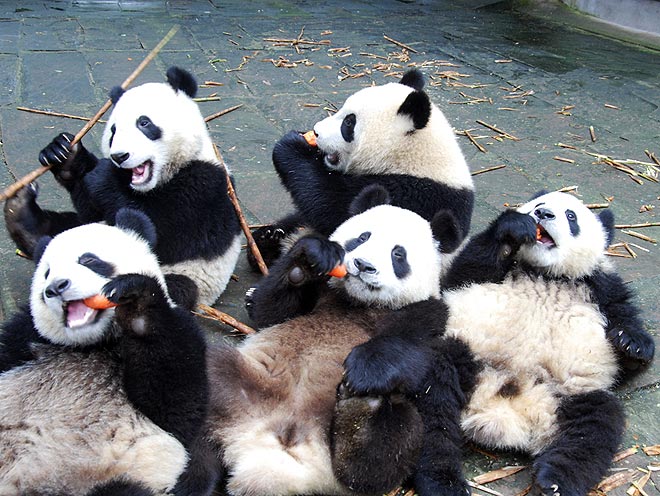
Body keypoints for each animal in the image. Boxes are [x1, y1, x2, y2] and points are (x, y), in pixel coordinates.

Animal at [0, 209, 217, 495]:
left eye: (89, 260)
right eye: (46, 273)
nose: (56, 287)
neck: (93, 343)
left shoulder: (182, 335)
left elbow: (176, 408)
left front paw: (137, 303)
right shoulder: (24, 337)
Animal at [3, 66, 242, 308]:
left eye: (144, 123)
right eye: (113, 131)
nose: (119, 156)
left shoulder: (205, 187)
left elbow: (164, 232)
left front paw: (102, 176)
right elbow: (91, 208)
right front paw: (64, 153)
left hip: (190, 278)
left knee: (168, 290)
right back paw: (22, 216)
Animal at [205, 185, 464, 496]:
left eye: (398, 254)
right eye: (362, 237)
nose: (363, 265)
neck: (358, 303)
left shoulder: (430, 315)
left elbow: (413, 351)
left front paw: (364, 371)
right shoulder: (315, 294)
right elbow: (267, 310)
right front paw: (310, 258)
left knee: (387, 452)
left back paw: (361, 414)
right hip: (242, 385)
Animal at [249, 68, 474, 269]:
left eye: (349, 123)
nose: (316, 131)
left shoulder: (419, 196)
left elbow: (335, 206)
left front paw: (291, 144)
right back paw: (268, 240)